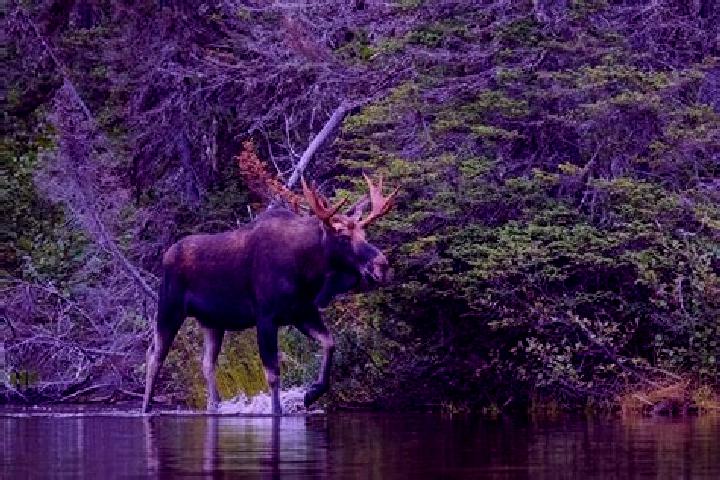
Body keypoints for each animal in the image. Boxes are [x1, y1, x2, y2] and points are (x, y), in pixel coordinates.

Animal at [142, 173, 398, 415]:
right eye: (343, 236)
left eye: (365, 235)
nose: (382, 265)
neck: (308, 271)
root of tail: (166, 255)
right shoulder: (266, 317)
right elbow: (273, 373)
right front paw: (278, 410)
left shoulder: (303, 312)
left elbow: (330, 343)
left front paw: (311, 393)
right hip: (169, 308)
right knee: (155, 356)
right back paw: (146, 407)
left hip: (213, 322)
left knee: (206, 363)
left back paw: (215, 406)